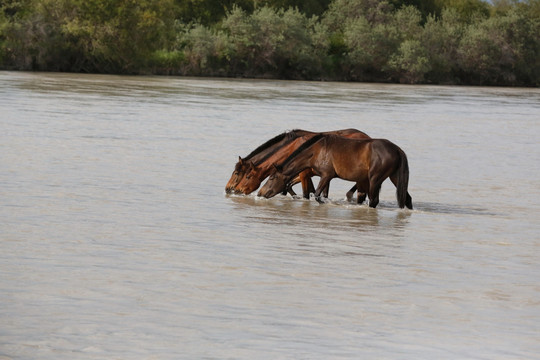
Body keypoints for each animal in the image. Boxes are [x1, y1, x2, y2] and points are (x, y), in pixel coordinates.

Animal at [234, 129, 370, 198]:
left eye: (247, 176)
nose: (236, 189)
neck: (293, 148)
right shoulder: (303, 174)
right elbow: (290, 187)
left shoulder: (304, 174)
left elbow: (306, 193)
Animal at [258, 134, 414, 210]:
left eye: (272, 178)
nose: (260, 193)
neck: (317, 150)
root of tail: (397, 149)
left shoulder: (326, 175)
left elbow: (317, 195)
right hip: (394, 177)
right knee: (407, 198)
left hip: (375, 179)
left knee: (374, 200)